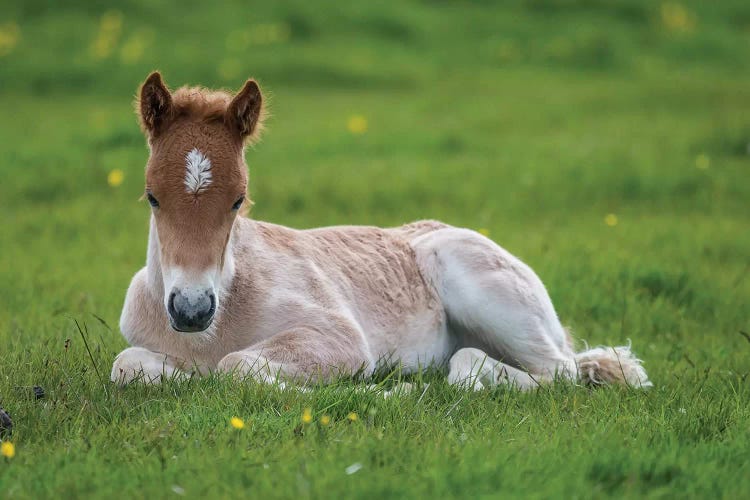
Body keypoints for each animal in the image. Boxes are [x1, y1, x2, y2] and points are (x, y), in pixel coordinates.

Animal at [113, 71, 652, 390]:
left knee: (556, 372)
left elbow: (235, 367)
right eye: (152, 196)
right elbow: (128, 367)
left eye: (238, 200)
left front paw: (371, 389)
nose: (191, 310)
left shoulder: (340, 337)